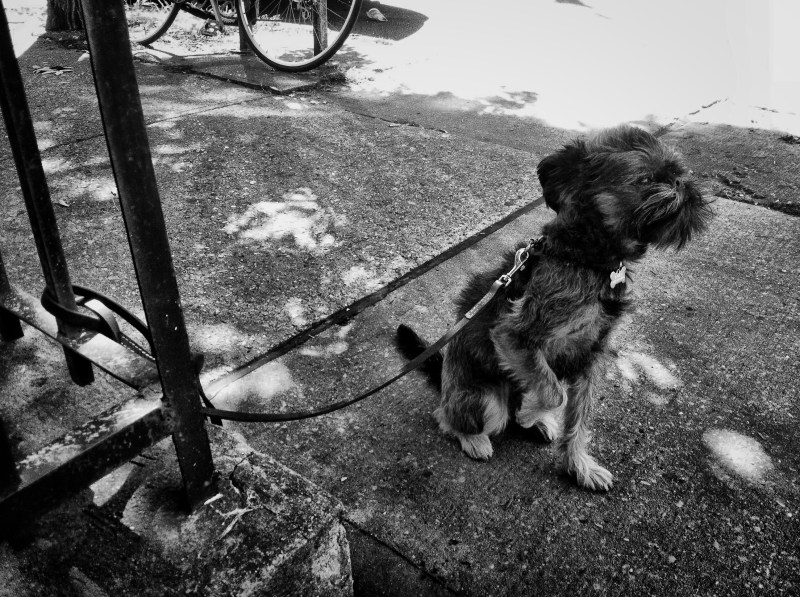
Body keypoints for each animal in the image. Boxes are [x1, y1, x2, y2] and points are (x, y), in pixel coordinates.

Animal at [397, 125, 712, 491]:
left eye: (679, 173)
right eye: (645, 179)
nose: (682, 185)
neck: (587, 257)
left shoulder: (591, 356)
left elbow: (578, 420)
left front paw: (579, 466)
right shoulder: (516, 335)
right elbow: (554, 394)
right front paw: (531, 413)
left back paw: (537, 423)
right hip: (485, 399)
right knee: (448, 417)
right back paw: (476, 436)